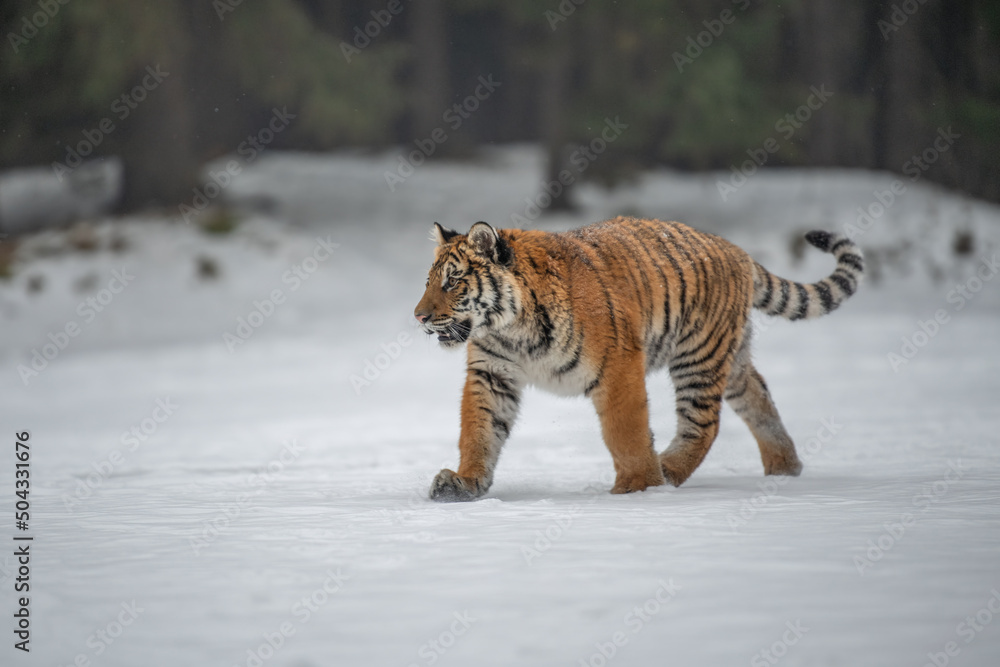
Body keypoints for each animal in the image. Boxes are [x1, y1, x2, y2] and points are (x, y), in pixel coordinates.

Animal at [414, 216, 863, 502]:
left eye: (452, 281)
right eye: (429, 281)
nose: (418, 316)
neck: (512, 329)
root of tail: (733, 248)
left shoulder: (617, 365)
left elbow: (625, 432)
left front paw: (637, 488)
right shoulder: (492, 373)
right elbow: (479, 430)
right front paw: (464, 483)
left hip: (699, 355)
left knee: (704, 424)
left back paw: (668, 471)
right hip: (730, 359)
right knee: (760, 399)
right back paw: (786, 469)